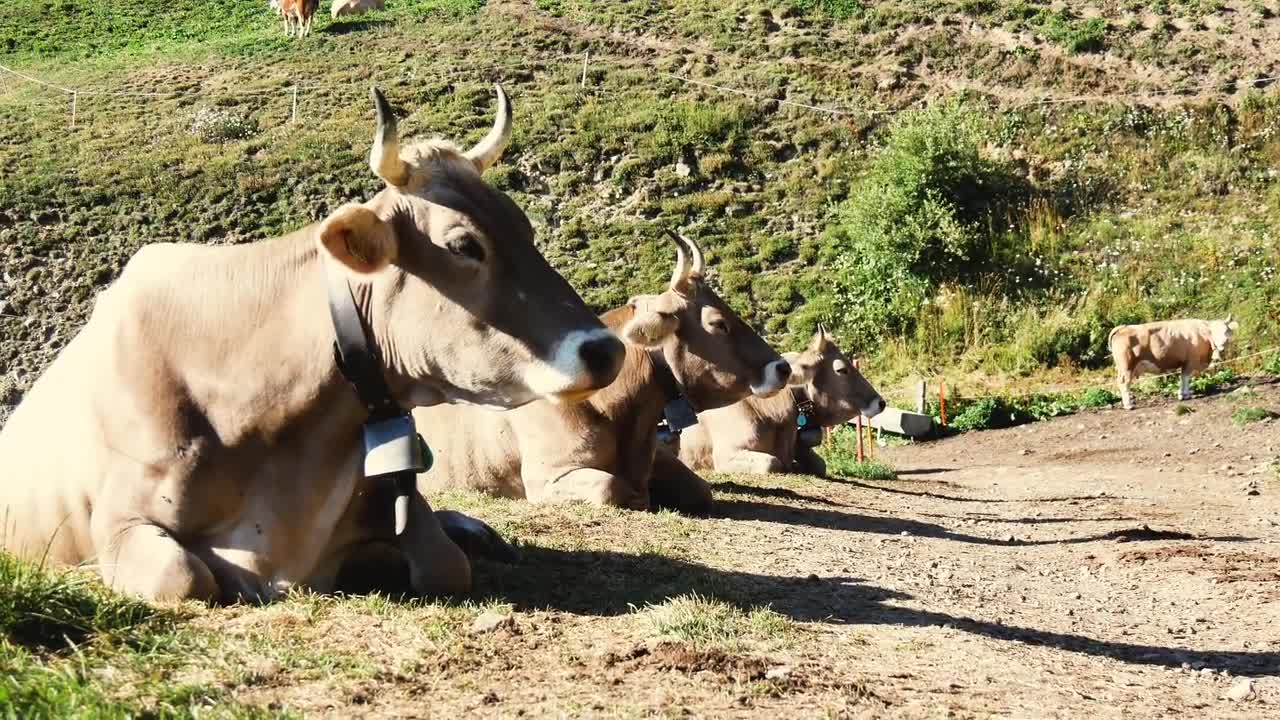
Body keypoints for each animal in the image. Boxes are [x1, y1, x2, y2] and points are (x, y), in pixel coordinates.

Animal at [1111, 315, 1239, 409]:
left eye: (1226, 331)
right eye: (1213, 331)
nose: (1223, 343)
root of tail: (1123, 327)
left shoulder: (1185, 362)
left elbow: (1182, 377)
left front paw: (1182, 394)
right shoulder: (1190, 361)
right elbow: (1186, 377)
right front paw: (1186, 395)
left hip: (1123, 368)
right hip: (1127, 366)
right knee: (1124, 383)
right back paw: (1129, 405)